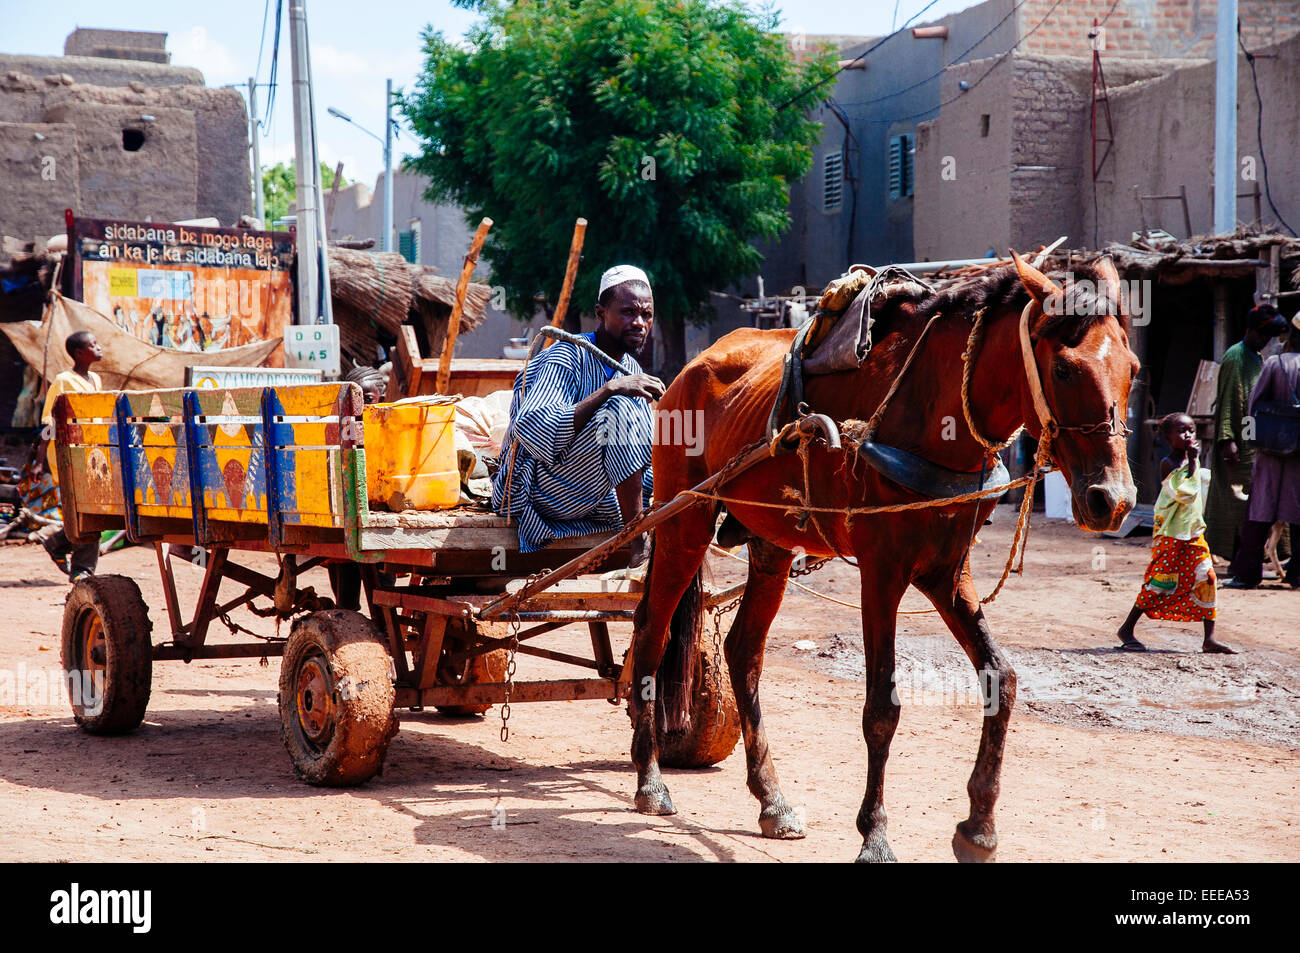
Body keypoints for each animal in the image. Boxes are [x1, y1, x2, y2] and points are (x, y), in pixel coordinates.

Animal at [630, 253, 1139, 862]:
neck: (931, 410)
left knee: (744, 651)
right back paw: (650, 781)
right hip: (682, 521)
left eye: (1133, 370)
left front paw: (979, 826)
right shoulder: (882, 571)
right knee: (653, 633)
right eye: (1063, 370)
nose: (1113, 500)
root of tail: (687, 369)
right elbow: (881, 709)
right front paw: (875, 833)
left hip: (771, 541)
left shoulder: (946, 572)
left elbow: (1003, 678)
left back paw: (771, 799)